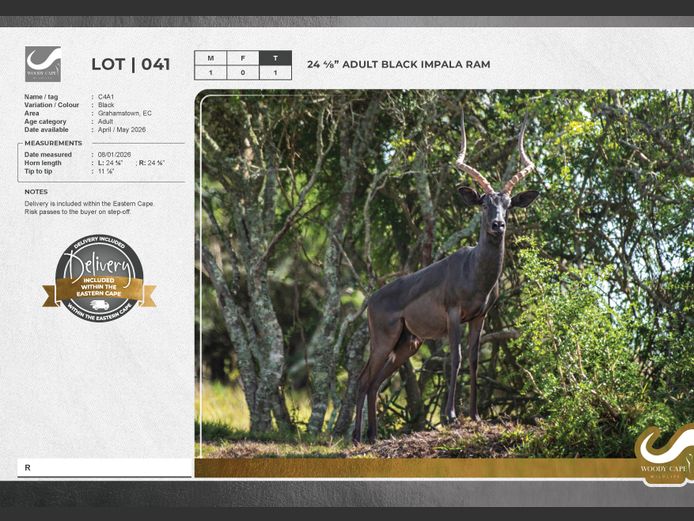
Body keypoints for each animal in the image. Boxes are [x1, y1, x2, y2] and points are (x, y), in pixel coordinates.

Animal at [352, 114, 539, 444]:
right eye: (484, 203)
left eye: (508, 204)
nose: (498, 225)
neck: (475, 271)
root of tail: (372, 299)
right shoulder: (453, 314)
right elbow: (456, 357)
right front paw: (451, 415)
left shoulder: (479, 317)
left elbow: (474, 359)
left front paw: (475, 415)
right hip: (384, 341)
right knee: (362, 380)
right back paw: (355, 437)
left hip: (407, 344)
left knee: (374, 383)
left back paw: (373, 436)